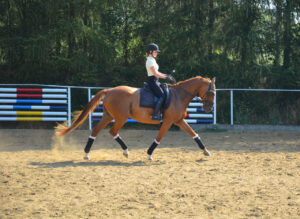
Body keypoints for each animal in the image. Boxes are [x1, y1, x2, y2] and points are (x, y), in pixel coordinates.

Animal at [55, 76, 216, 160]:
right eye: (212, 92)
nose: (209, 109)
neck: (178, 95)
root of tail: (109, 91)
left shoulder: (179, 121)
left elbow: (194, 134)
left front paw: (206, 151)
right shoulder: (169, 121)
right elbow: (159, 137)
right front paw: (149, 154)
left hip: (108, 116)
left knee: (95, 131)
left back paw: (87, 153)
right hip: (120, 118)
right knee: (112, 132)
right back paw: (125, 151)